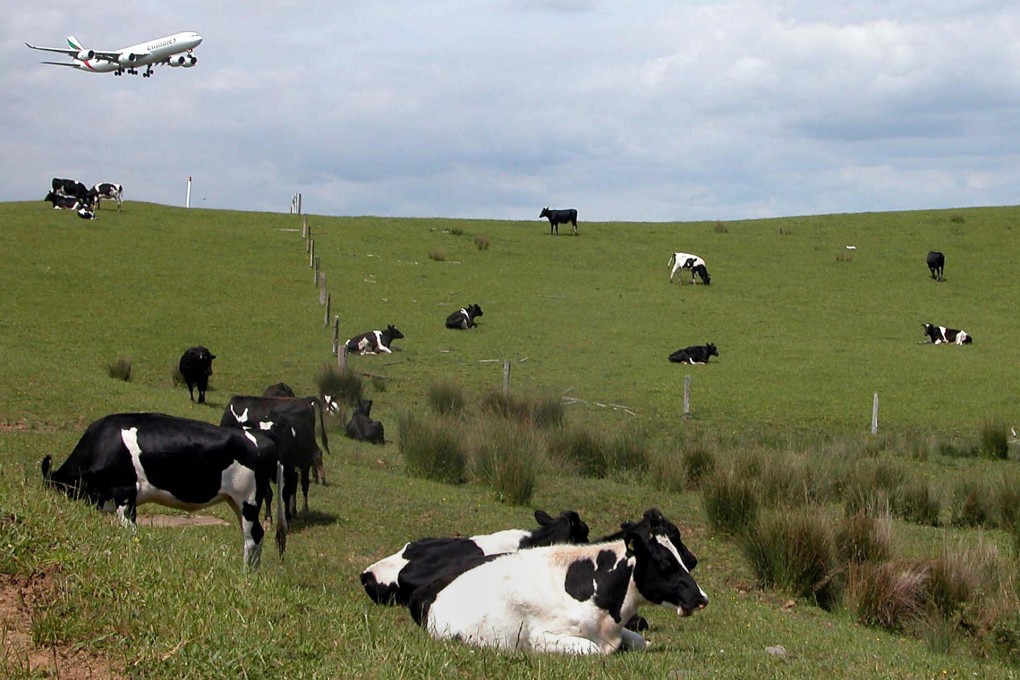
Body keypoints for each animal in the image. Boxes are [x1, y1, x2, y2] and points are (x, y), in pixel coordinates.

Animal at [40, 415, 285, 570]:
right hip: (235, 501)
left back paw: (246, 575)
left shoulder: (125, 492)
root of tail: (262, 436)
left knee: (254, 536)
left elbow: (129, 531)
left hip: (248, 501)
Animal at [410, 509, 705, 652]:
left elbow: (642, 641)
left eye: (679, 554)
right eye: (665, 563)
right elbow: (593, 650)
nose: (701, 597)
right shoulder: (540, 636)